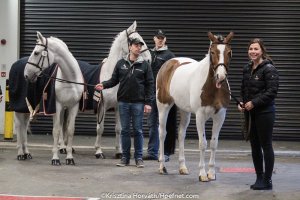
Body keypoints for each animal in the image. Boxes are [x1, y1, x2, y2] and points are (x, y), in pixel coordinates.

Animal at [23, 31, 84, 166]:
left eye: (36, 52)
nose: (26, 74)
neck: (69, 79)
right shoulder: (56, 105)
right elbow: (56, 130)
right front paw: (55, 158)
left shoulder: (73, 106)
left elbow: (70, 130)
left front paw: (69, 157)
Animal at [94, 19, 151, 158]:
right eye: (136, 39)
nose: (149, 59)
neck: (110, 73)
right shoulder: (101, 106)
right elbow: (100, 128)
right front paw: (98, 151)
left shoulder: (118, 106)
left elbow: (119, 129)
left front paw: (119, 152)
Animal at [157, 31, 234, 181]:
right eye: (212, 52)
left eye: (229, 52)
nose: (221, 76)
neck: (212, 87)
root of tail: (169, 63)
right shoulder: (200, 115)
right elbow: (202, 144)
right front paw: (203, 174)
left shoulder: (220, 115)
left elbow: (214, 144)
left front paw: (211, 173)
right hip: (163, 106)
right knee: (162, 133)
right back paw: (162, 167)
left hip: (184, 111)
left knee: (181, 134)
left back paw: (182, 167)